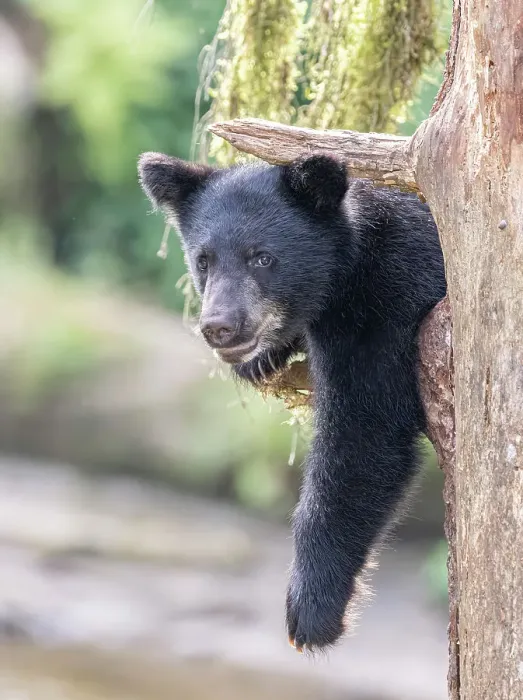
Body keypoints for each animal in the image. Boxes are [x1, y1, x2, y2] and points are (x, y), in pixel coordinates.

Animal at [138, 152, 447, 652]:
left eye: (262, 257)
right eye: (204, 260)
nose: (219, 326)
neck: (348, 270)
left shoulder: (388, 303)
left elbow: (366, 434)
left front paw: (311, 609)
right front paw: (262, 359)